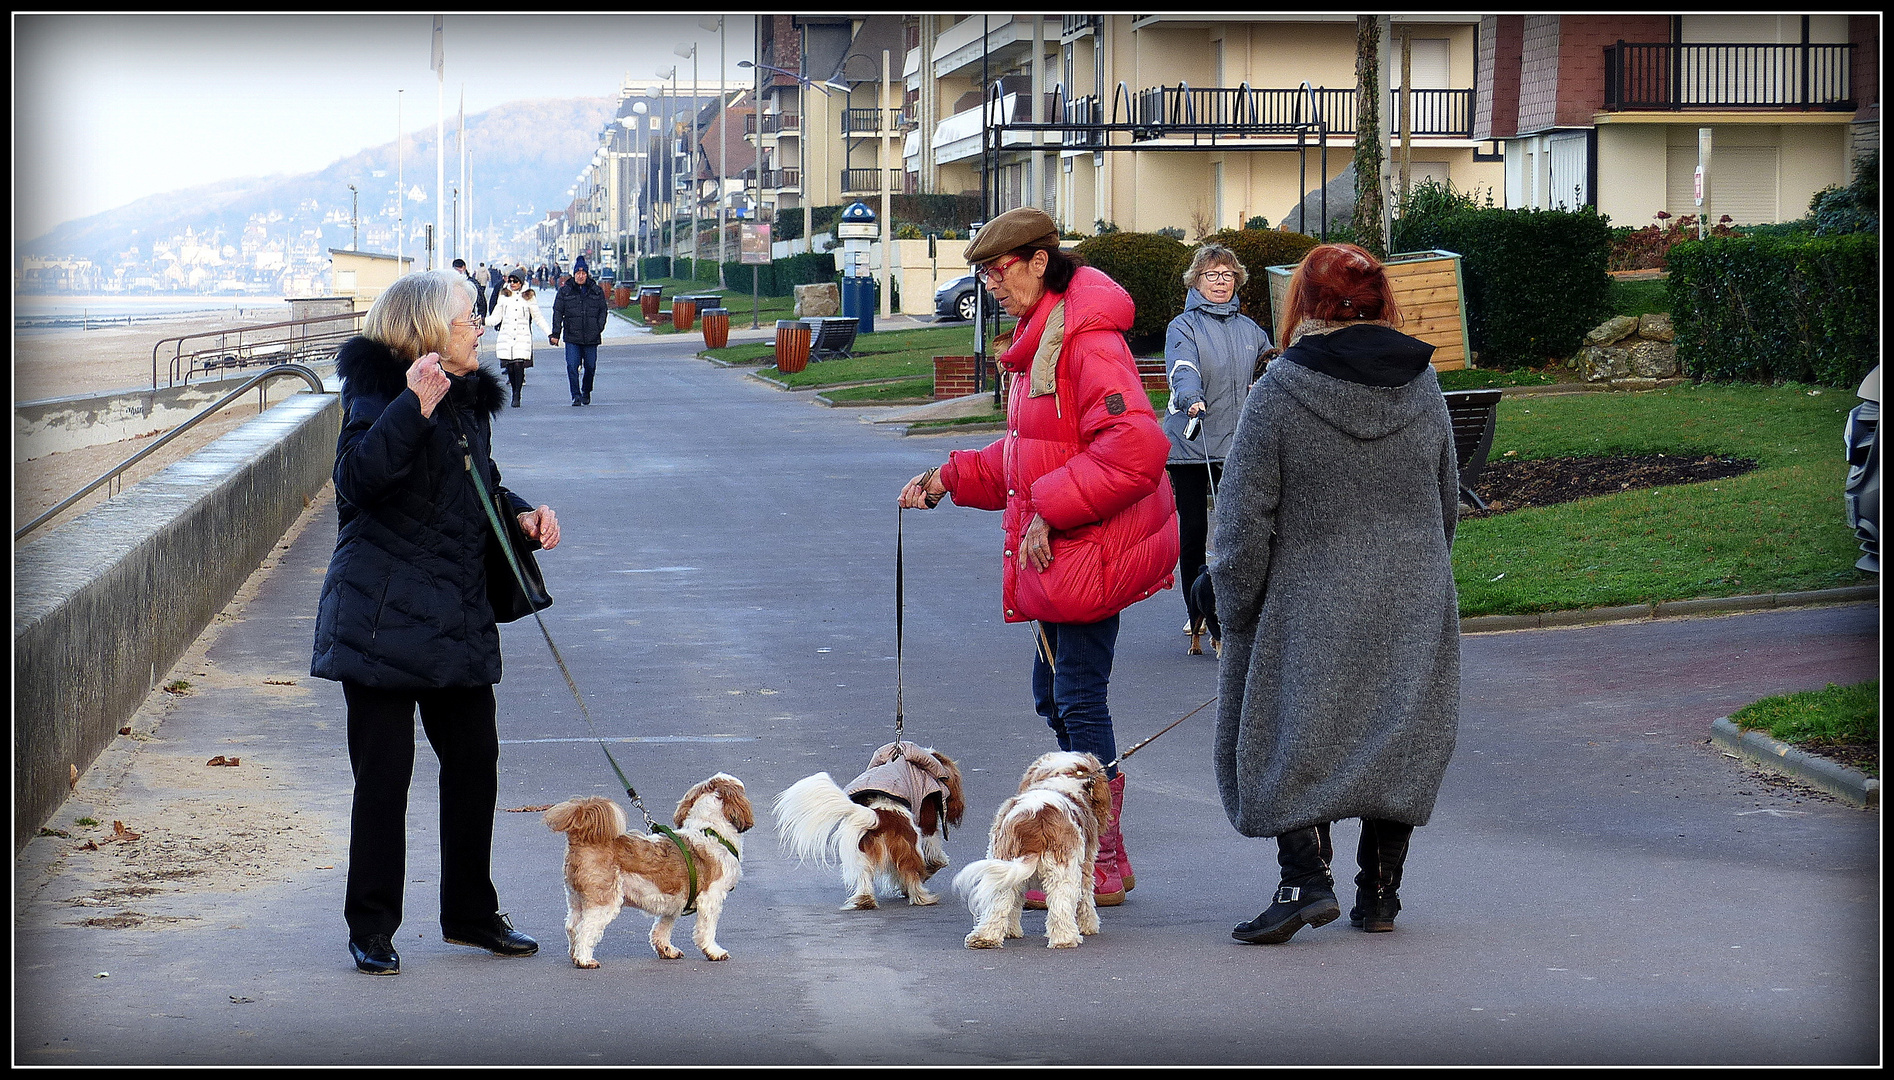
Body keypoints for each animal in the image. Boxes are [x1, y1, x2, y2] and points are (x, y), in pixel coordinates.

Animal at [541, 773, 753, 966]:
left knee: (572, 926)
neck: (710, 831)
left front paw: (666, 949)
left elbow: (662, 928)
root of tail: (581, 837)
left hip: (576, 898)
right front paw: (714, 951)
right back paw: (585, 959)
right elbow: (707, 930)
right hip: (603, 901)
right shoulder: (711, 898)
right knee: (585, 929)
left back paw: (574, 954)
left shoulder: (673, 900)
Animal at [772, 735, 969, 905]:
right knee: (912, 874)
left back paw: (865, 901)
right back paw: (923, 897)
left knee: (865, 880)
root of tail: (878, 818)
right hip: (910, 848)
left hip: (861, 858)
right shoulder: (927, 822)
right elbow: (935, 854)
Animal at [954, 746, 1113, 939]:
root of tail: (1037, 820)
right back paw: (1066, 939)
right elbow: (1086, 900)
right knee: (1061, 906)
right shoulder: (1087, 866)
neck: (1065, 776)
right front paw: (1089, 925)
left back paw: (984, 938)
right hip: (1065, 870)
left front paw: (1011, 930)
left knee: (998, 907)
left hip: (1005, 865)